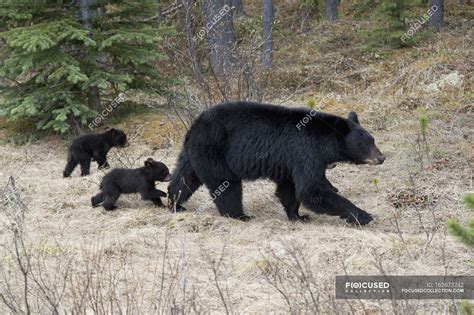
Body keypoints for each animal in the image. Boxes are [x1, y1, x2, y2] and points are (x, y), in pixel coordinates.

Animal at [168, 102, 384, 226]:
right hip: (215, 151)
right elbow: (312, 190)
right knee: (227, 185)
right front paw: (363, 215)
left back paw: (175, 203)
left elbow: (289, 189)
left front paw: (297, 216)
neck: (324, 141)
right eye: (366, 144)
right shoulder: (305, 151)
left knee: (184, 178)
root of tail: (195, 125)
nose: (381, 157)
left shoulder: (289, 162)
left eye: (373, 140)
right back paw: (239, 215)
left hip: (193, 153)